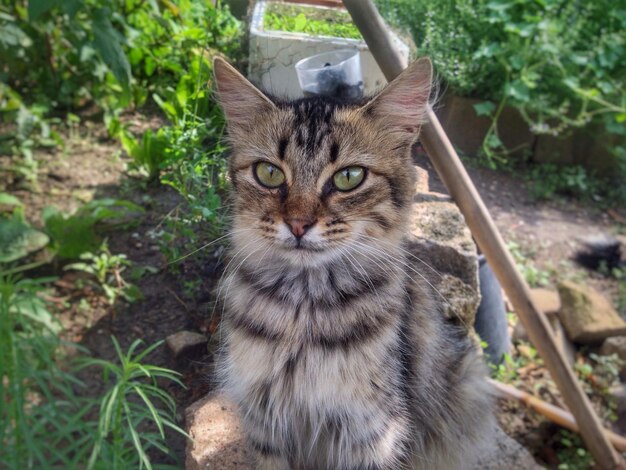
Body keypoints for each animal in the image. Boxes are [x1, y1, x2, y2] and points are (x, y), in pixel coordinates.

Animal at [212, 56, 490, 470]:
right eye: (269, 173)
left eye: (348, 177)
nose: (298, 224)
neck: (303, 312)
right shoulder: (265, 422)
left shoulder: (372, 431)